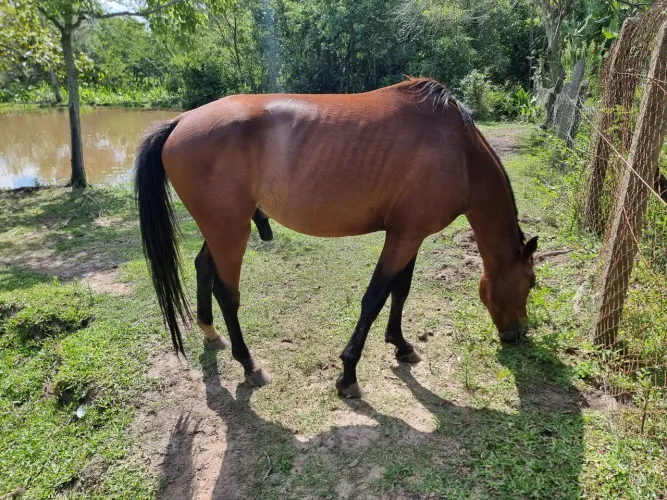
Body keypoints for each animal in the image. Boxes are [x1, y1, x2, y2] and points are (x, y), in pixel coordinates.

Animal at [134, 78, 538, 399]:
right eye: (531, 283)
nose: (516, 335)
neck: (459, 151)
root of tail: (180, 121)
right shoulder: (403, 238)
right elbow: (374, 298)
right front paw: (348, 374)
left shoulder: (411, 235)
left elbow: (400, 290)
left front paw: (401, 345)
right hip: (230, 230)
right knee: (226, 293)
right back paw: (249, 364)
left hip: (222, 227)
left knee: (203, 267)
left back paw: (210, 332)